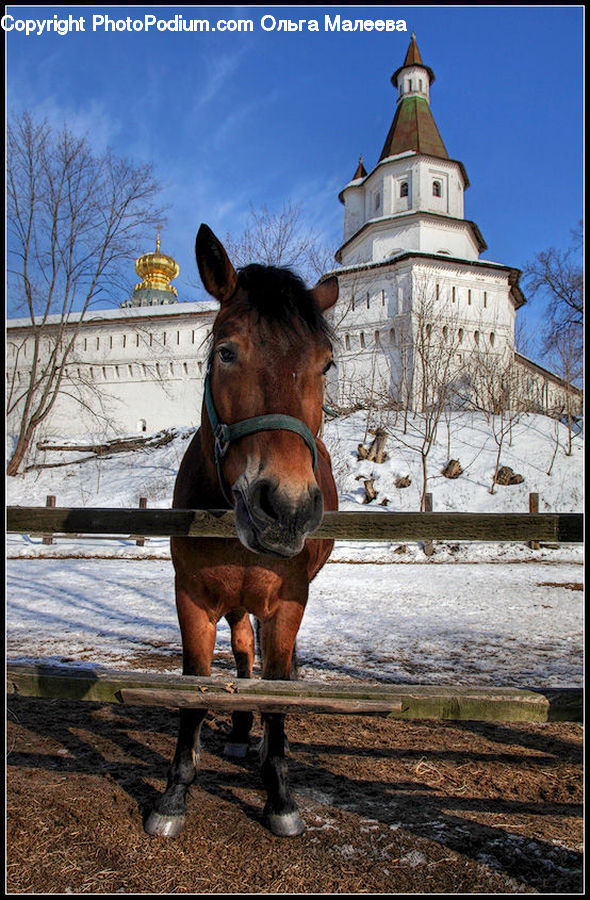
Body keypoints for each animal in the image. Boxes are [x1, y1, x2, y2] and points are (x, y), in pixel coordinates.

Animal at [144, 224, 339, 839]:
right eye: (226, 351)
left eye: (326, 364)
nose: (287, 507)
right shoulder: (193, 600)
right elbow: (196, 686)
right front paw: (175, 792)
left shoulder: (288, 602)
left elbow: (275, 688)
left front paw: (279, 794)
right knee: (243, 649)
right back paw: (234, 733)